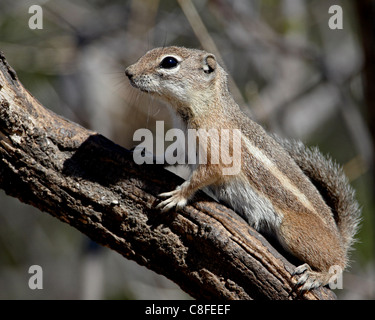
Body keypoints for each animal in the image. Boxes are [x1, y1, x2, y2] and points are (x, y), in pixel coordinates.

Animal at [125, 46, 362, 292]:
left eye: (169, 62)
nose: (128, 72)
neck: (208, 107)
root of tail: (339, 240)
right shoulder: (185, 146)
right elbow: (171, 156)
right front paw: (148, 156)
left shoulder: (218, 154)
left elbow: (204, 175)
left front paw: (179, 195)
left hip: (293, 232)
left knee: (337, 265)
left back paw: (318, 275)